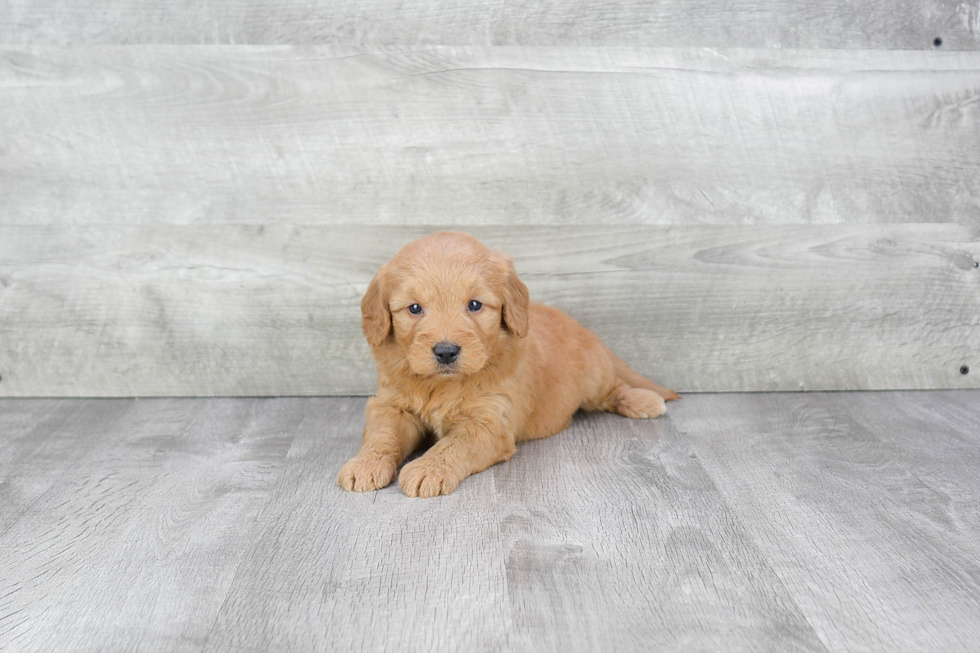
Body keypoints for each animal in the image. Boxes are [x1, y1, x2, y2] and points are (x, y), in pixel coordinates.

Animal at [334, 232, 672, 496]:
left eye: (474, 305)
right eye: (414, 308)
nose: (446, 352)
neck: (441, 385)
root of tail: (582, 329)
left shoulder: (490, 422)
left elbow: (453, 445)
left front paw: (428, 468)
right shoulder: (391, 405)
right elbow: (382, 435)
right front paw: (364, 464)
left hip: (594, 377)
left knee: (614, 388)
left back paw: (644, 400)